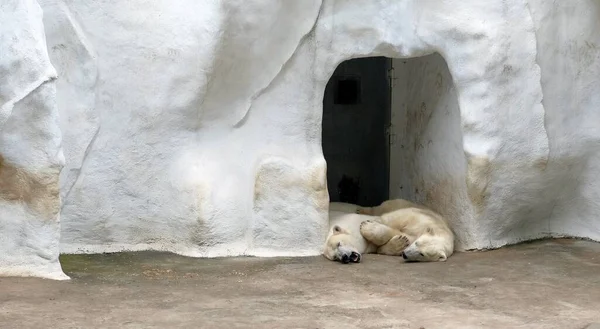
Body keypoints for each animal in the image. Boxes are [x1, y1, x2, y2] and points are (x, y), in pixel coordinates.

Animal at [324, 199, 454, 262]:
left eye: (422, 254)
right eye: (417, 243)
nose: (405, 254)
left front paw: (398, 243)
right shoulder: (418, 220)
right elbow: (390, 223)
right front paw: (367, 227)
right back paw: (361, 210)